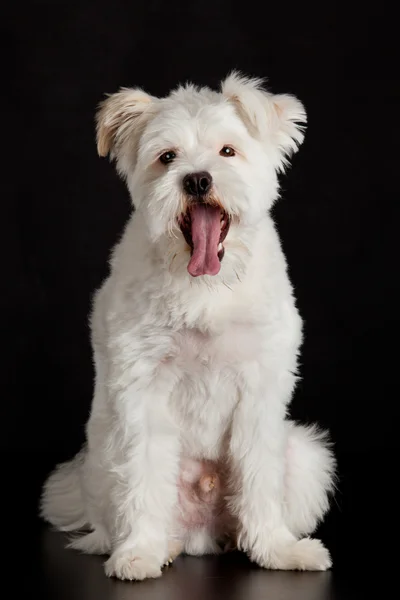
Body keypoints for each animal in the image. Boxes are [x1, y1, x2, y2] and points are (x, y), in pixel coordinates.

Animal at [40, 72, 336, 580]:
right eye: (167, 157)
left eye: (227, 151)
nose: (197, 179)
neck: (206, 287)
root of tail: (201, 534)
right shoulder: (142, 388)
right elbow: (142, 476)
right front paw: (139, 551)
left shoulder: (259, 388)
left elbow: (259, 478)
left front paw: (275, 549)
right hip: (102, 458)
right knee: (122, 512)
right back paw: (155, 544)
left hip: (304, 455)